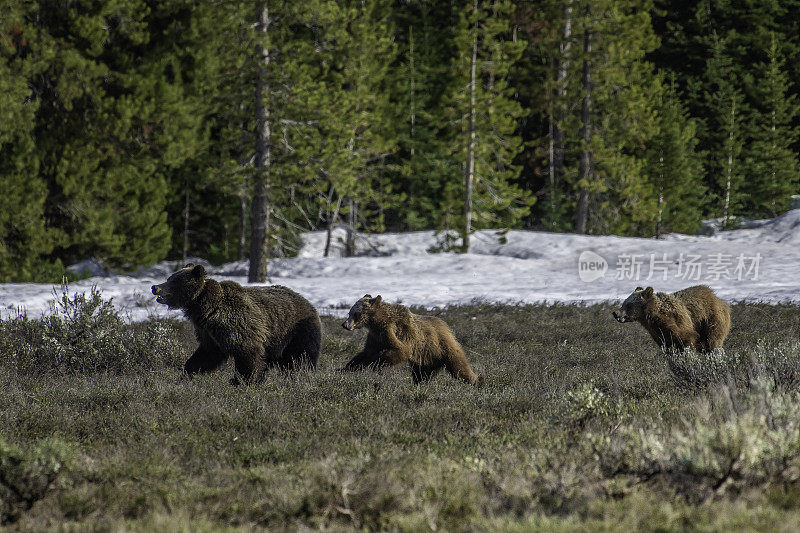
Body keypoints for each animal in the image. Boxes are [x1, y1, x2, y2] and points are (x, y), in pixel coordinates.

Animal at [152, 262, 320, 382]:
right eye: (169, 278)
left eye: (174, 281)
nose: (155, 287)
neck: (205, 308)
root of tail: (308, 302)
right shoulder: (209, 333)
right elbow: (206, 354)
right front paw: (186, 374)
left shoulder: (238, 325)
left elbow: (248, 355)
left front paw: (243, 381)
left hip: (296, 331)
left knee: (301, 358)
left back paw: (302, 376)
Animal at [340, 294, 482, 384]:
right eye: (349, 312)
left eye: (356, 313)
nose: (345, 325)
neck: (377, 322)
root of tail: (447, 328)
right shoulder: (376, 337)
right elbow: (365, 354)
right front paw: (344, 369)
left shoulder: (392, 332)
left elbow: (400, 350)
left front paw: (377, 364)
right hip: (426, 358)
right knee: (421, 375)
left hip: (443, 347)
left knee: (460, 368)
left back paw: (478, 381)